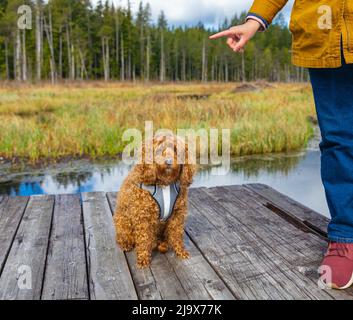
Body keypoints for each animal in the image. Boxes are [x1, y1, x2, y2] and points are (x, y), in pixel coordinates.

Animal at [113, 132, 195, 268]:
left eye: (176, 149)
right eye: (159, 150)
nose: (168, 161)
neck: (165, 184)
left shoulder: (177, 215)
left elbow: (177, 235)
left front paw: (181, 251)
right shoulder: (142, 216)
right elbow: (143, 239)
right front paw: (143, 259)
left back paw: (163, 244)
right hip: (123, 222)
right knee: (123, 237)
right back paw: (126, 243)